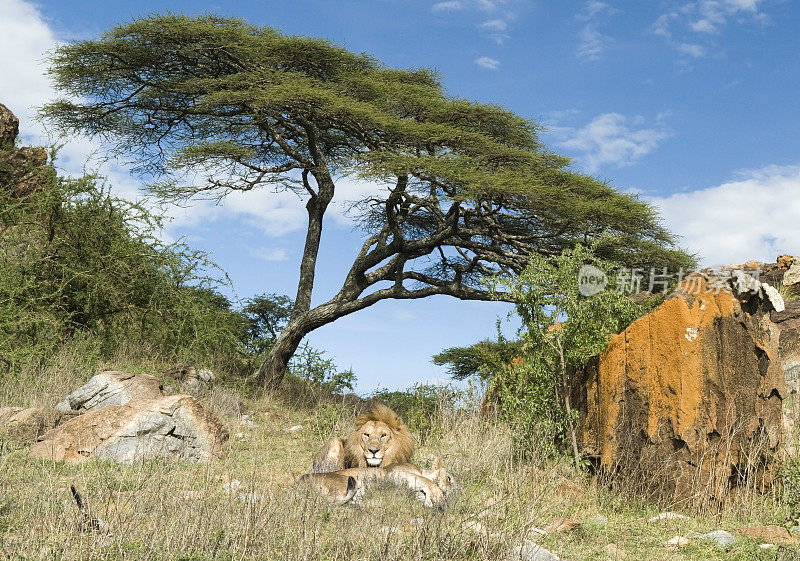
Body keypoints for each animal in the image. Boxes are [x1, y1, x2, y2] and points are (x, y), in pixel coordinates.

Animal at [298, 402, 454, 508]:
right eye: (449, 478)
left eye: (383, 435)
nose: (454, 490)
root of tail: (299, 482)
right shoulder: (395, 473)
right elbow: (425, 481)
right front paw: (439, 496)